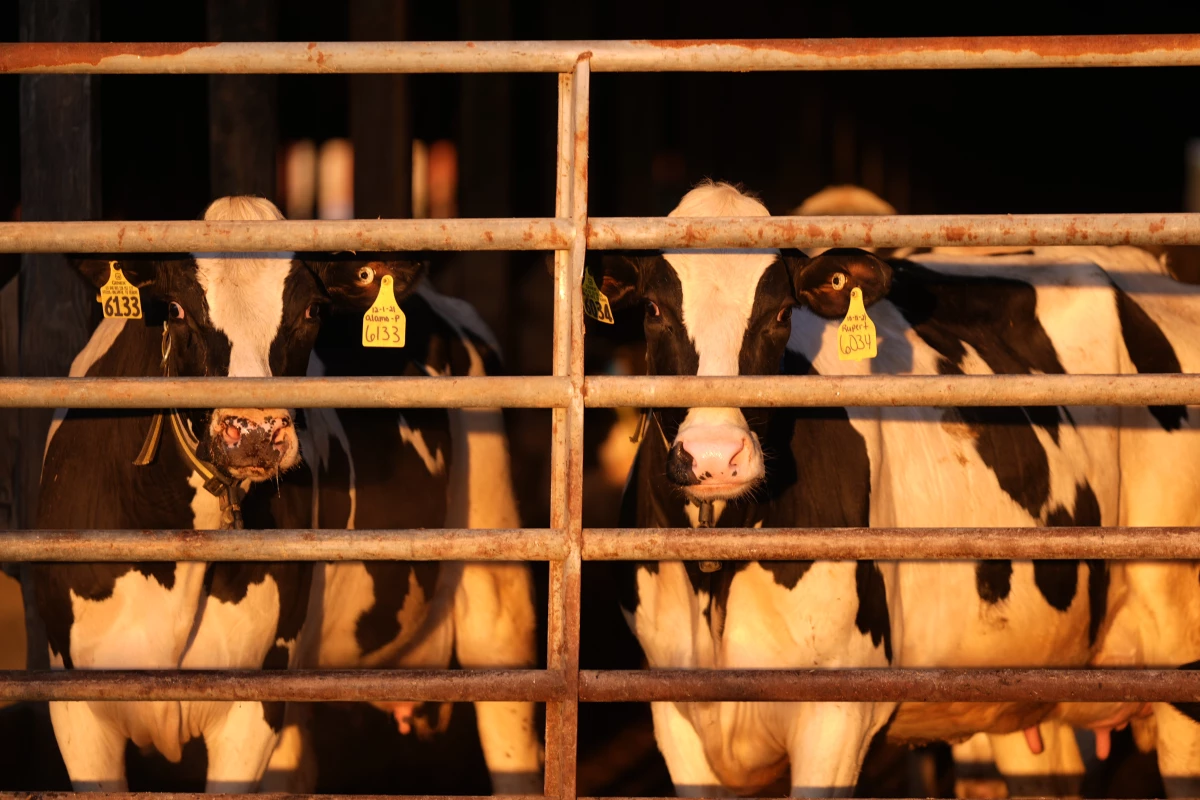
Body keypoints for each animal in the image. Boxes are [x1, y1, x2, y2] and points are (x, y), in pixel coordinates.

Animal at [33, 195, 540, 794]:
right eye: (176, 310)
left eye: (312, 312)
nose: (253, 429)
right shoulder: (77, 708)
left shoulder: (252, 705)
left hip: (497, 584)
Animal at [590, 180, 1200, 797]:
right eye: (653, 310)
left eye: (781, 314)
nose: (716, 455)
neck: (714, 574)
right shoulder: (674, 715)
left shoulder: (836, 715)